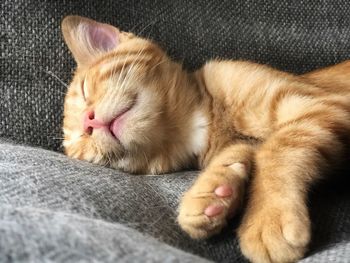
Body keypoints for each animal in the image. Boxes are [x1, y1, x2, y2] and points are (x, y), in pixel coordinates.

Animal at [60, 16, 350, 263]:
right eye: (81, 147)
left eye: (85, 90)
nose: (88, 122)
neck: (205, 122)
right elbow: (251, 150)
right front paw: (214, 191)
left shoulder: (326, 106)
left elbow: (277, 149)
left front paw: (268, 219)